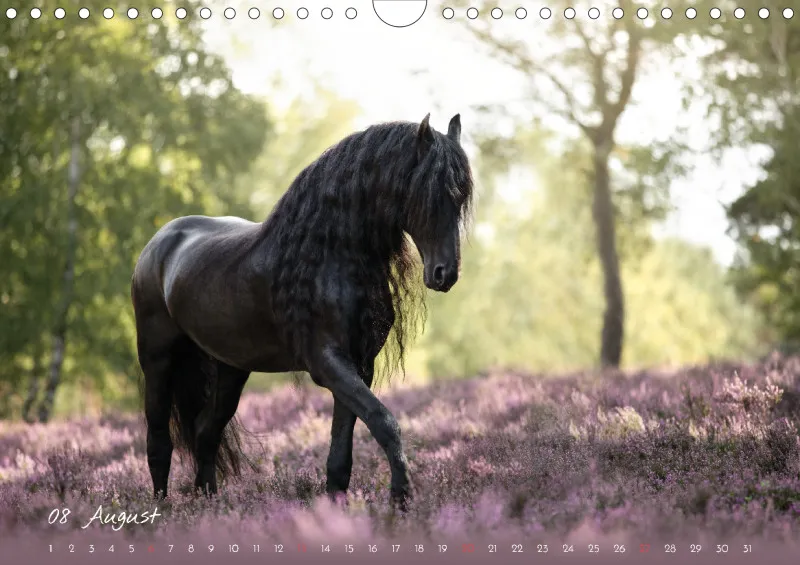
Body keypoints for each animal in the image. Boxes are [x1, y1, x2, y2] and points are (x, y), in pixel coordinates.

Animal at [131, 114, 473, 510]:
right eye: (429, 193)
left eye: (460, 197)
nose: (445, 274)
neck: (329, 256)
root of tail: (159, 243)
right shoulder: (327, 363)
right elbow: (384, 421)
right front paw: (401, 498)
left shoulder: (359, 365)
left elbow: (341, 452)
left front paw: (338, 507)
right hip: (158, 361)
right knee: (159, 441)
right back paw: (162, 511)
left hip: (231, 369)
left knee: (205, 433)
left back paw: (212, 507)